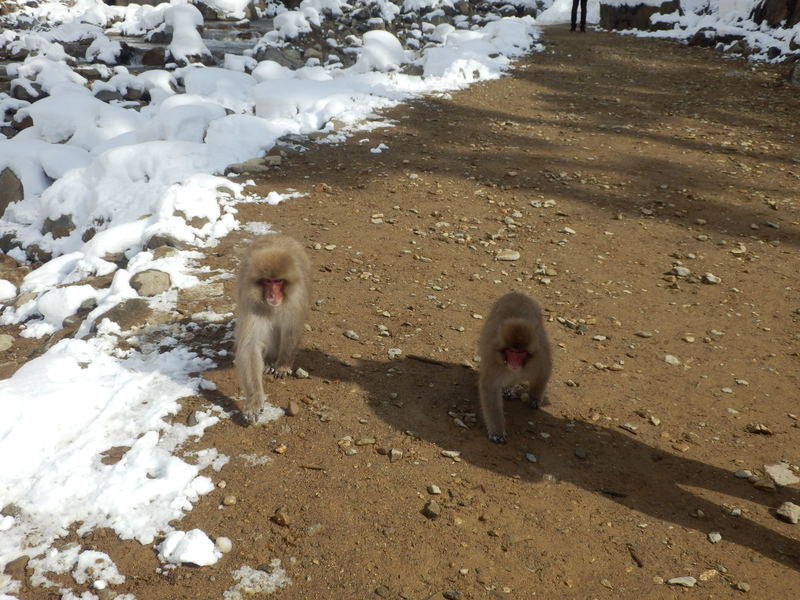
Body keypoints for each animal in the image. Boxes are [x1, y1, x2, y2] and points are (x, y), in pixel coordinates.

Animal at [233, 232, 310, 424]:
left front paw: (282, 365)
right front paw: (254, 400)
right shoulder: (251, 303)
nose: (273, 295)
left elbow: (291, 330)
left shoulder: (296, 300)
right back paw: (268, 361)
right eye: (268, 281)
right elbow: (250, 346)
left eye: (279, 281)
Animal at [478, 292, 552, 442]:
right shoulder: (494, 364)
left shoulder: (539, 359)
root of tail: (517, 293)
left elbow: (543, 374)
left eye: (520, 353)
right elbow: (490, 388)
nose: (514, 363)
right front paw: (497, 431)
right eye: (511, 352)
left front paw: (534, 398)